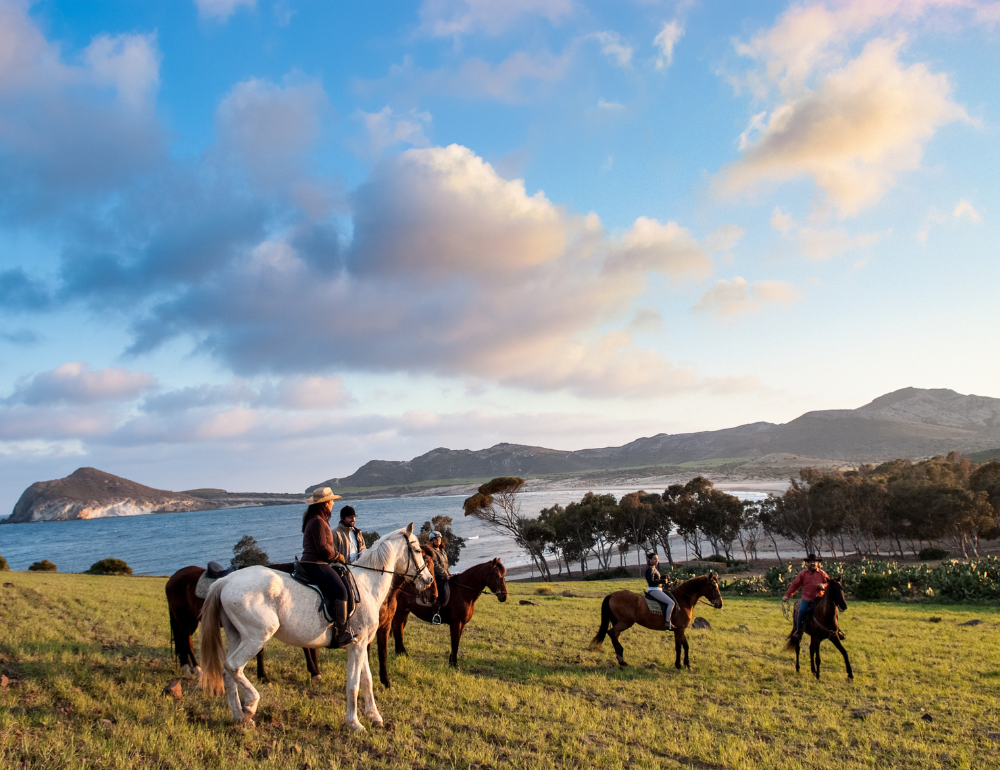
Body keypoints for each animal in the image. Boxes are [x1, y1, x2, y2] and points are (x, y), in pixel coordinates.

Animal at [166, 560, 318, 680]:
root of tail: (173, 578)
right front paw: (263, 676)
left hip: (191, 620)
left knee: (183, 640)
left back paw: (186, 666)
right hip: (183, 618)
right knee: (186, 641)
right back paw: (197, 669)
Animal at [201, 520, 432, 732]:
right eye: (418, 550)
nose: (428, 579)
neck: (367, 585)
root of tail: (226, 581)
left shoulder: (361, 644)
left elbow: (367, 680)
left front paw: (374, 716)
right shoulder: (355, 646)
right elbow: (353, 685)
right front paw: (354, 723)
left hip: (237, 637)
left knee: (227, 672)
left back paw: (239, 717)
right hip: (257, 636)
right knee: (233, 666)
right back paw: (250, 706)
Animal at [588, 568, 724, 664]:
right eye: (713, 586)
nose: (720, 604)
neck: (683, 600)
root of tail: (612, 595)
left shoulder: (681, 629)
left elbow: (686, 646)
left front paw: (687, 664)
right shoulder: (679, 629)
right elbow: (679, 647)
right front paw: (678, 665)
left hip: (619, 622)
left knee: (615, 635)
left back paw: (621, 658)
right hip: (625, 622)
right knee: (612, 633)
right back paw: (621, 658)